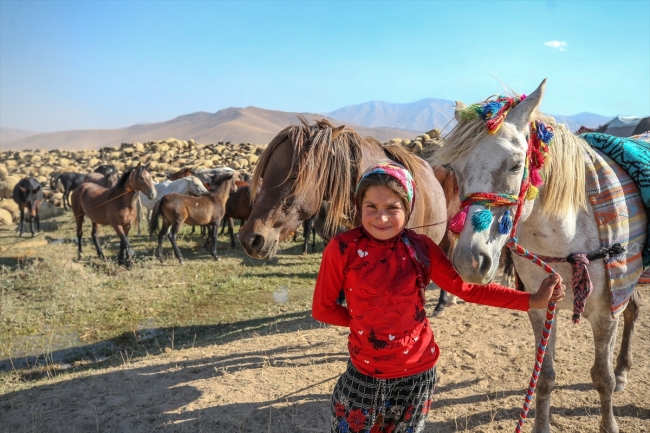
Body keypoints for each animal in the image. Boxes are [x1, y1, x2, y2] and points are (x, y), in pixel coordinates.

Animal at [432, 78, 644, 432]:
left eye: (517, 165)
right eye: (455, 170)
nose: (470, 262)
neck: (565, 237)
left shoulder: (605, 312)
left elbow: (602, 378)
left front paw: (610, 421)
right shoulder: (541, 306)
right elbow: (544, 377)